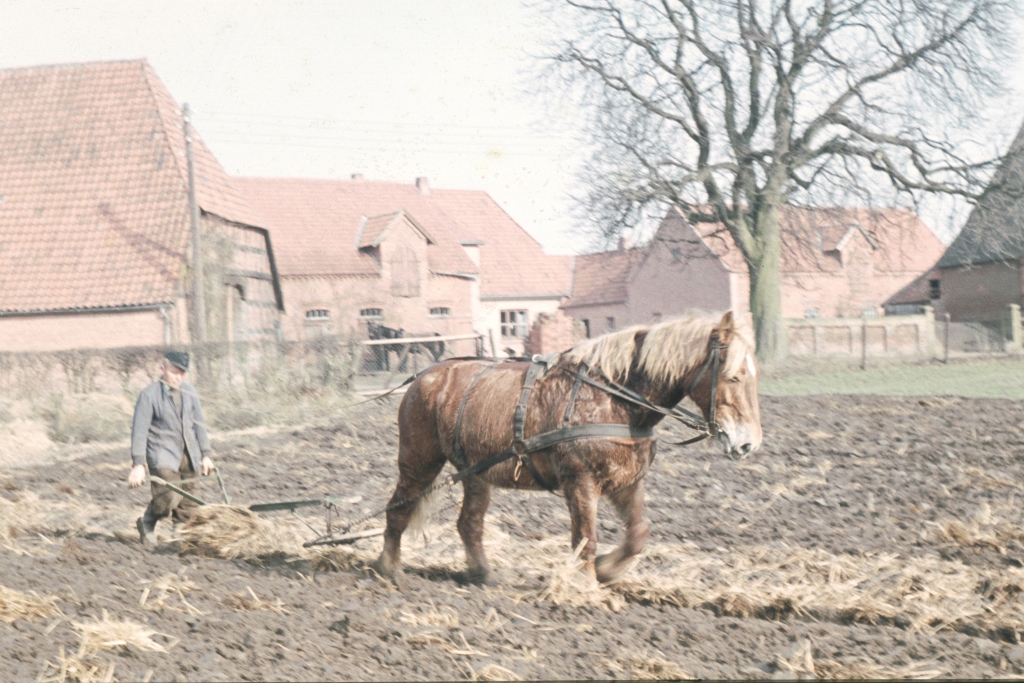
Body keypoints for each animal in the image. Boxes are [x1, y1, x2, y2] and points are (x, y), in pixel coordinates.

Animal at [372, 311, 762, 585]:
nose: (748, 442)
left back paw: (482, 573)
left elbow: (638, 534)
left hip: (475, 473)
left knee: (468, 523)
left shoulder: (628, 481)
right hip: (419, 462)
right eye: (733, 376)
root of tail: (425, 375)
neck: (615, 398)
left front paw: (606, 571)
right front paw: (584, 585)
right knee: (398, 511)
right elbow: (585, 537)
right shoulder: (581, 482)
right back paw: (390, 568)